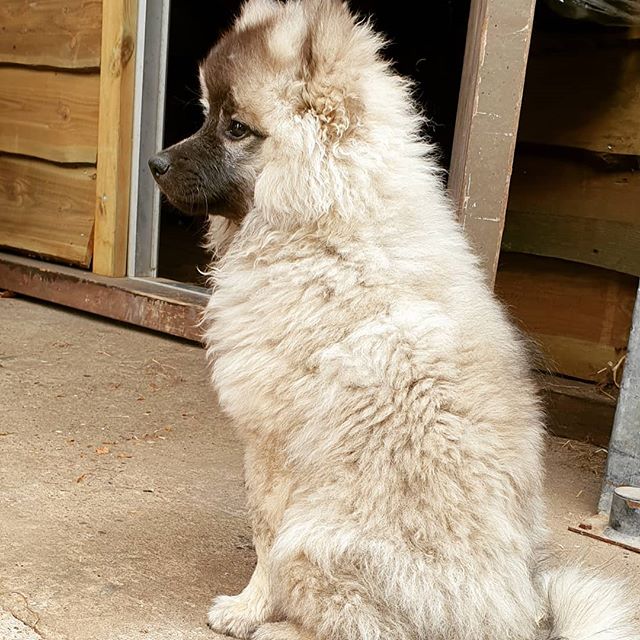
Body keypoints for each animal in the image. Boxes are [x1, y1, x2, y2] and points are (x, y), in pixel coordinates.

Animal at [149, 1, 636, 640]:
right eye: (207, 115)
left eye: (236, 128)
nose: (154, 163)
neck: (328, 224)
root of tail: (513, 619)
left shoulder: (273, 450)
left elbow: (264, 535)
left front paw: (249, 607)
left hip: (317, 539)